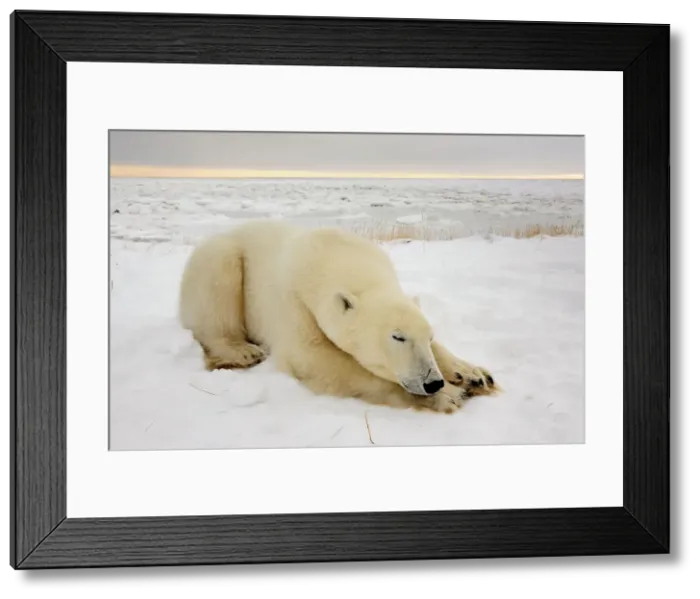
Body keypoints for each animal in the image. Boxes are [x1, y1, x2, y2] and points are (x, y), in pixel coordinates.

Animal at [178, 220, 500, 414]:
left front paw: (473, 375)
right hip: (220, 259)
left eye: (428, 337)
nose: (432, 382)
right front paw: (448, 397)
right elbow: (316, 359)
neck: (334, 253)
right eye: (397, 337)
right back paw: (241, 351)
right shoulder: (293, 302)